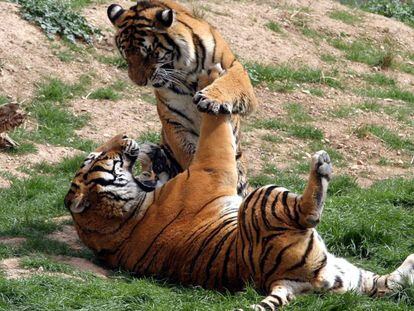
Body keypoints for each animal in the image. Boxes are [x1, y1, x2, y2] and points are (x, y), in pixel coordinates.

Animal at [64, 109, 414, 310]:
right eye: (99, 157)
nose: (124, 135)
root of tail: (285, 280)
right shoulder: (210, 168)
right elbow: (216, 134)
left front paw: (155, 152)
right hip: (263, 197)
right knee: (308, 213)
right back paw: (321, 166)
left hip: (348, 275)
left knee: (385, 286)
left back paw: (410, 261)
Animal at [106, 0, 258, 197]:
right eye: (125, 54)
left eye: (149, 54)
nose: (138, 81)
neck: (187, 73)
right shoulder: (173, 121)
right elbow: (189, 154)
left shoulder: (234, 67)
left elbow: (230, 82)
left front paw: (210, 99)